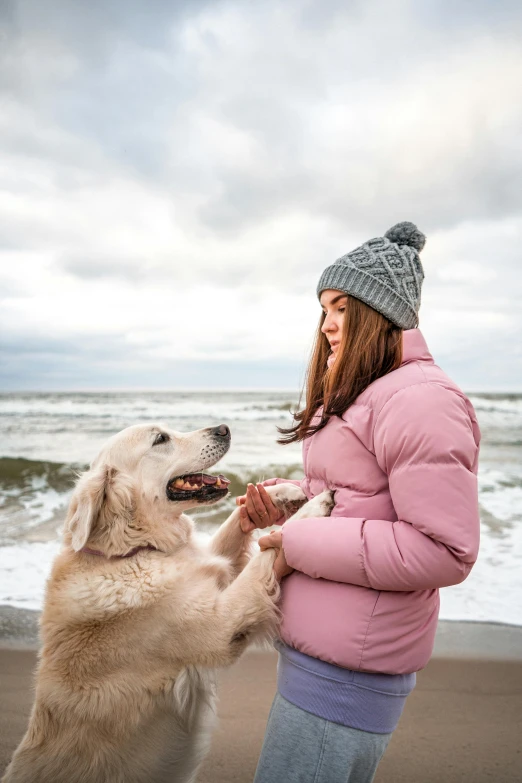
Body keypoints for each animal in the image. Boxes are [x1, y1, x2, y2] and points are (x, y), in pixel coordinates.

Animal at [4, 422, 334, 783]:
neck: (134, 550)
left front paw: (278, 494)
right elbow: (267, 551)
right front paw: (314, 507)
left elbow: (235, 521)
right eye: (160, 439)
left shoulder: (216, 573)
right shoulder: (222, 622)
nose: (224, 428)